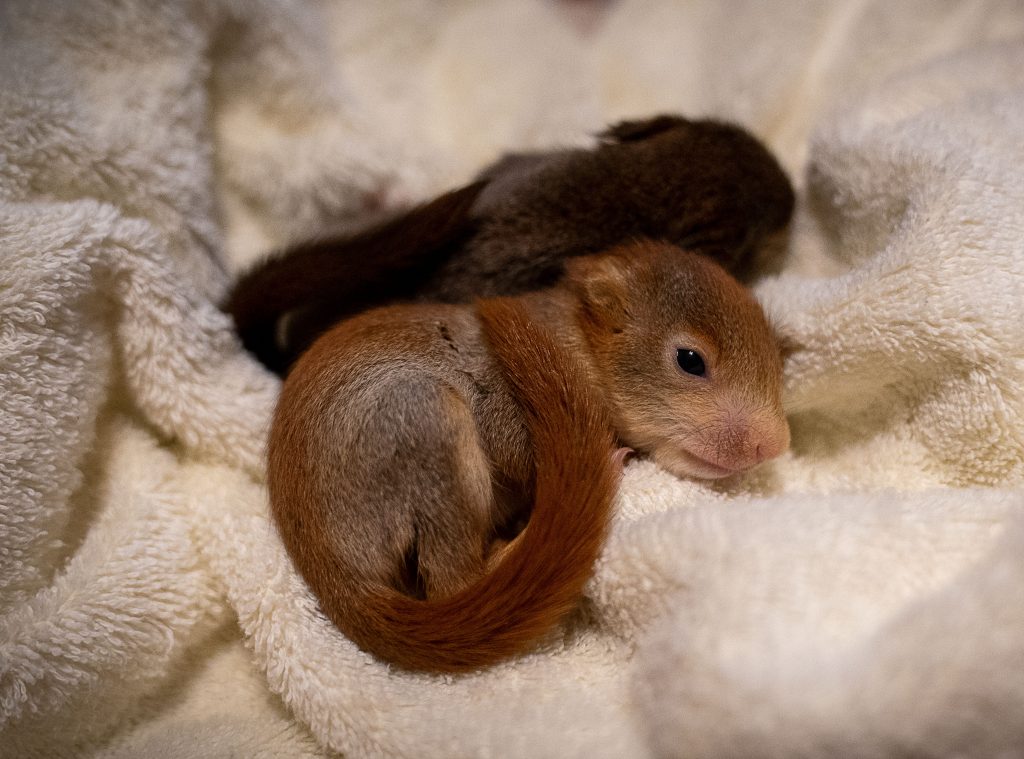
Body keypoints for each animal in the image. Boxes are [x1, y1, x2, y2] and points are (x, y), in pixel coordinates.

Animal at [268, 240, 790, 673]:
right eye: (690, 360)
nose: (774, 444)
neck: (571, 339)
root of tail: (336, 577)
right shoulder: (504, 405)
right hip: (426, 421)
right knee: (453, 581)